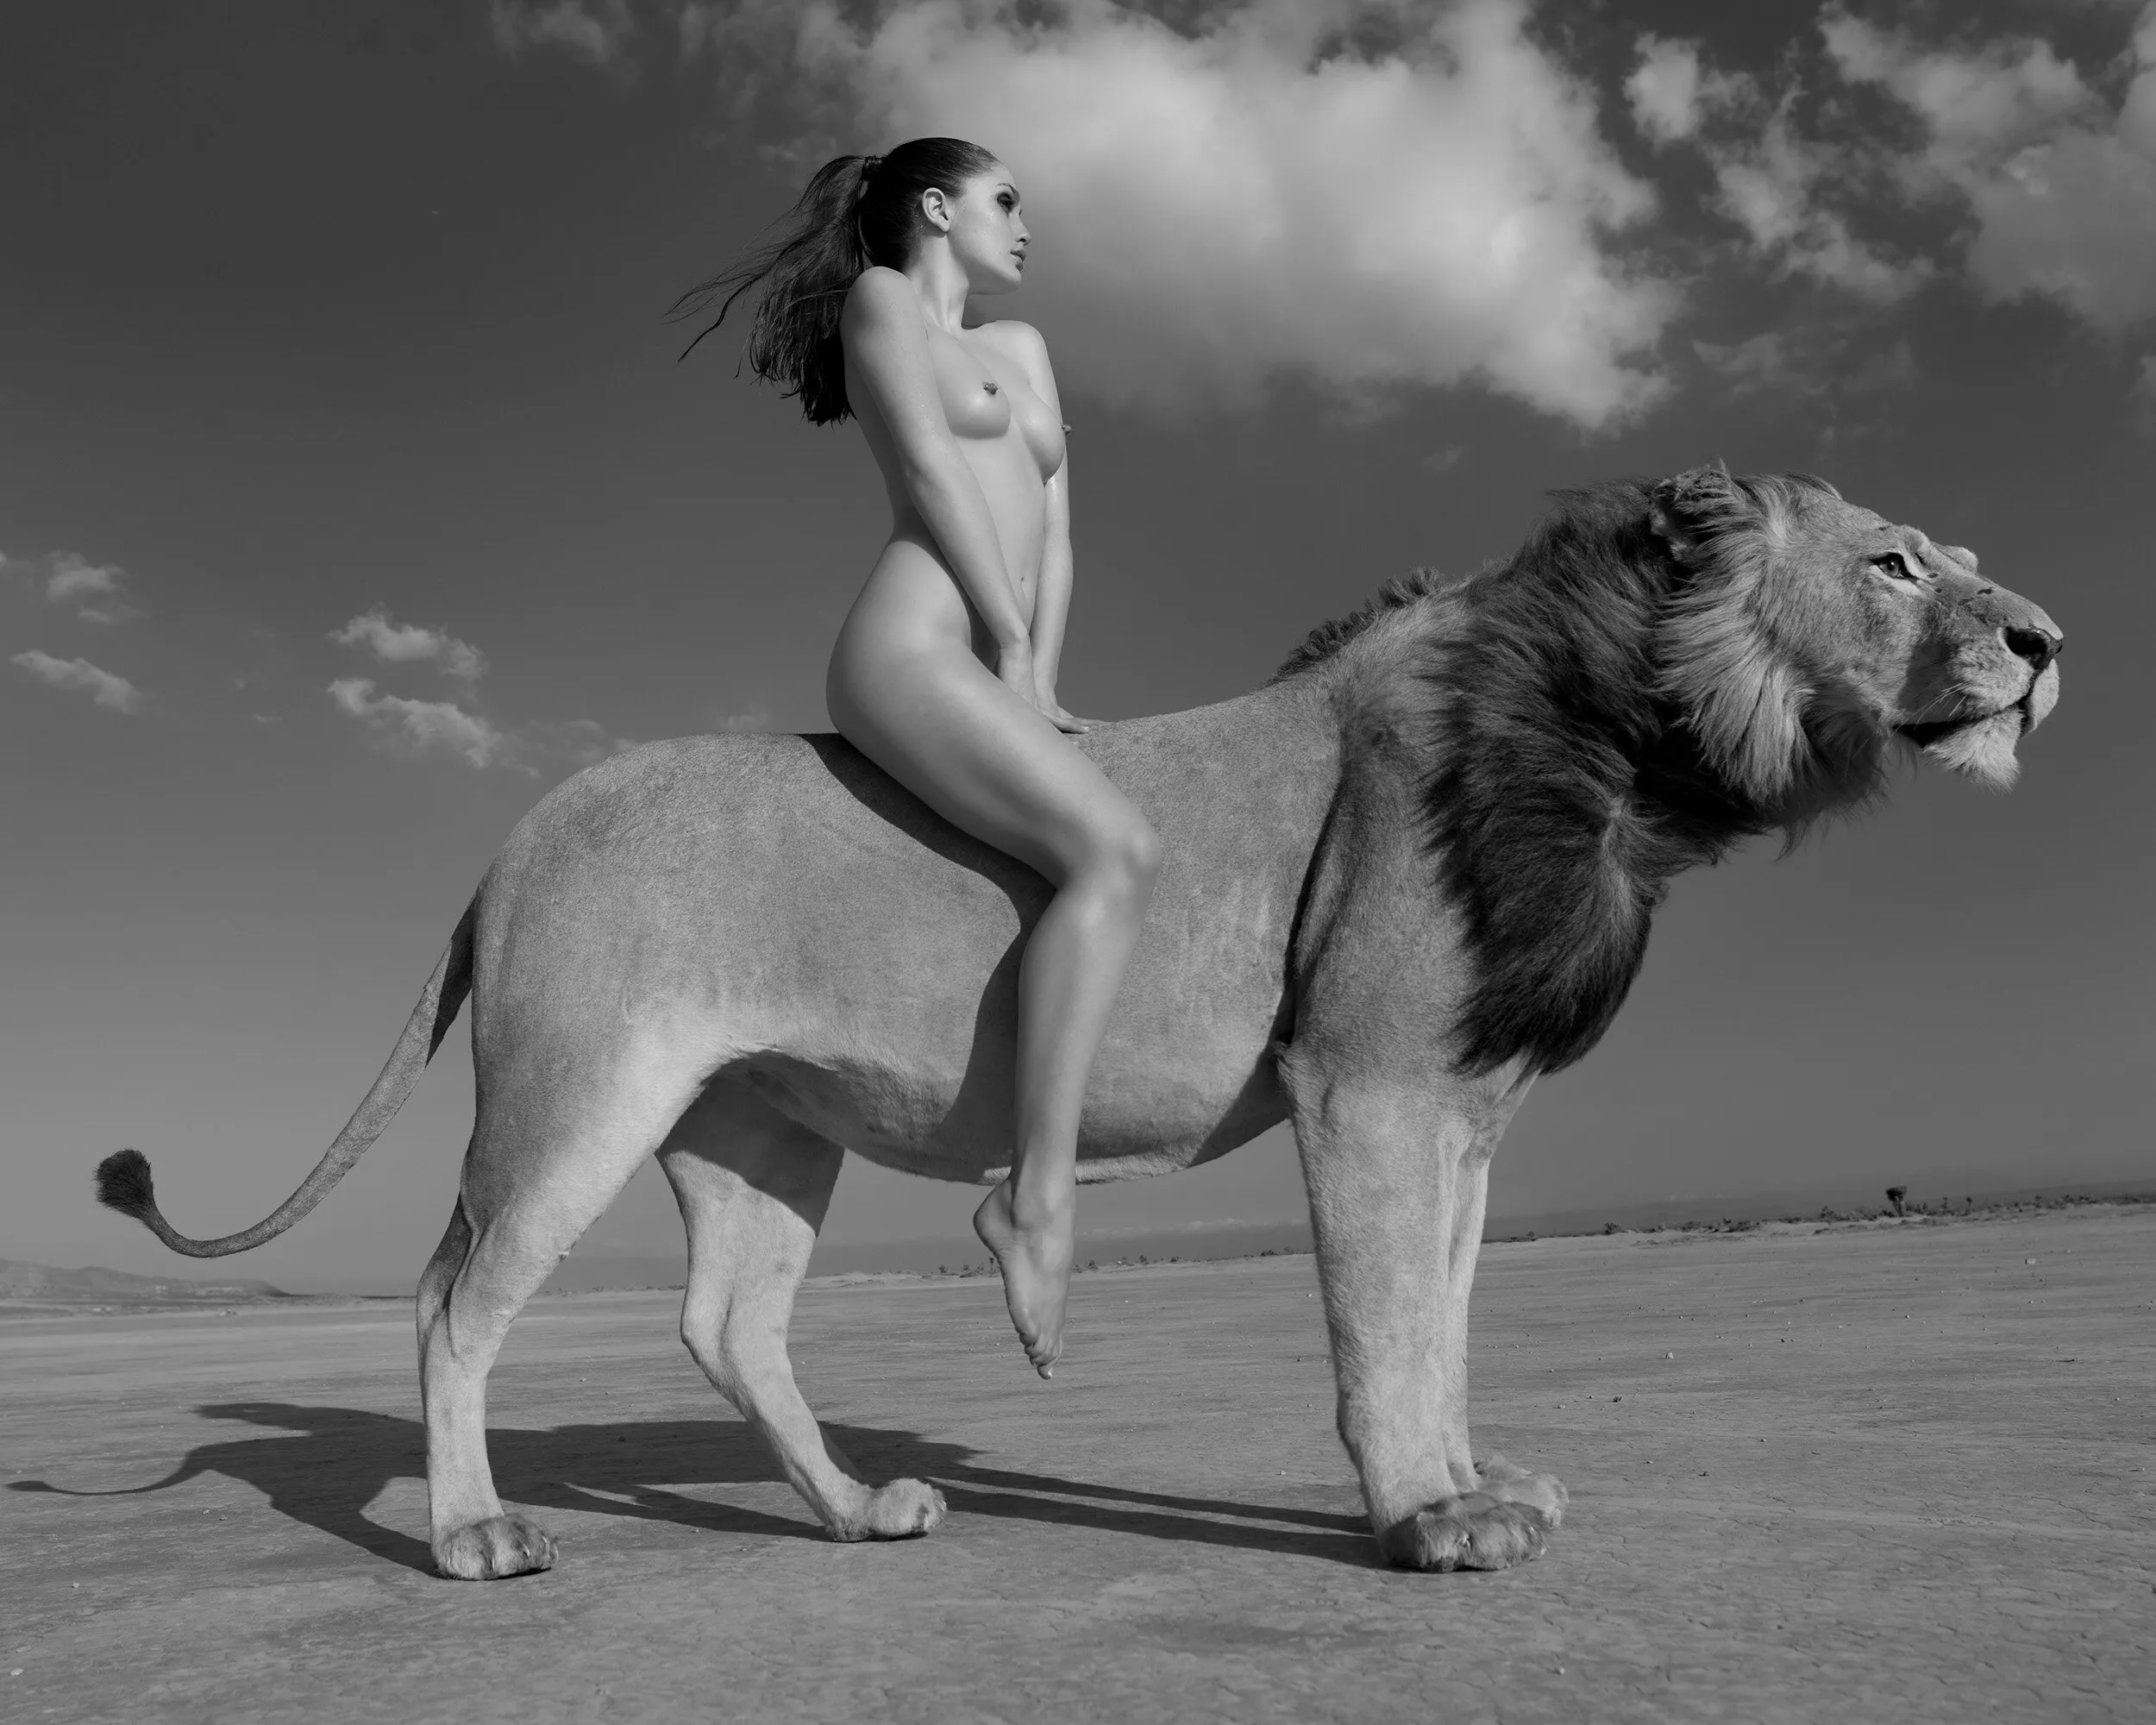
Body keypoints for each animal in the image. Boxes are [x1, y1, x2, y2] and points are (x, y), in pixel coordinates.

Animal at [96, 466, 2062, 1580]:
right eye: (1895, 566)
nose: (2047, 641)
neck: (1625, 745)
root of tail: (502, 843)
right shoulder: (1367, 1086)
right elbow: (1381, 1332)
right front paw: (1423, 1523)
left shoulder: (1463, 1111)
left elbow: (1443, 1319)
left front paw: (1470, 1481)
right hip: (577, 1095)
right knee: (454, 1301)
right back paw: (472, 1536)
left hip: (760, 1128)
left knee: (727, 1322)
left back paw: (852, 1513)